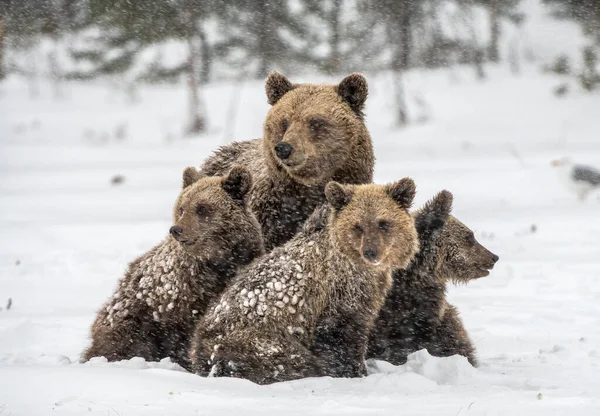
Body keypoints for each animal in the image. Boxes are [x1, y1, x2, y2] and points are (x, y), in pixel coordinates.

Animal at [83, 166, 264, 368]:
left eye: (202, 208)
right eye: (182, 208)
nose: (176, 229)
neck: (219, 260)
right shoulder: (181, 295)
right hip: (129, 319)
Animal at [190, 179, 420, 384]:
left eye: (383, 223)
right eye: (358, 226)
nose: (371, 252)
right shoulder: (341, 296)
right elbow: (341, 335)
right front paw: (355, 371)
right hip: (257, 342)